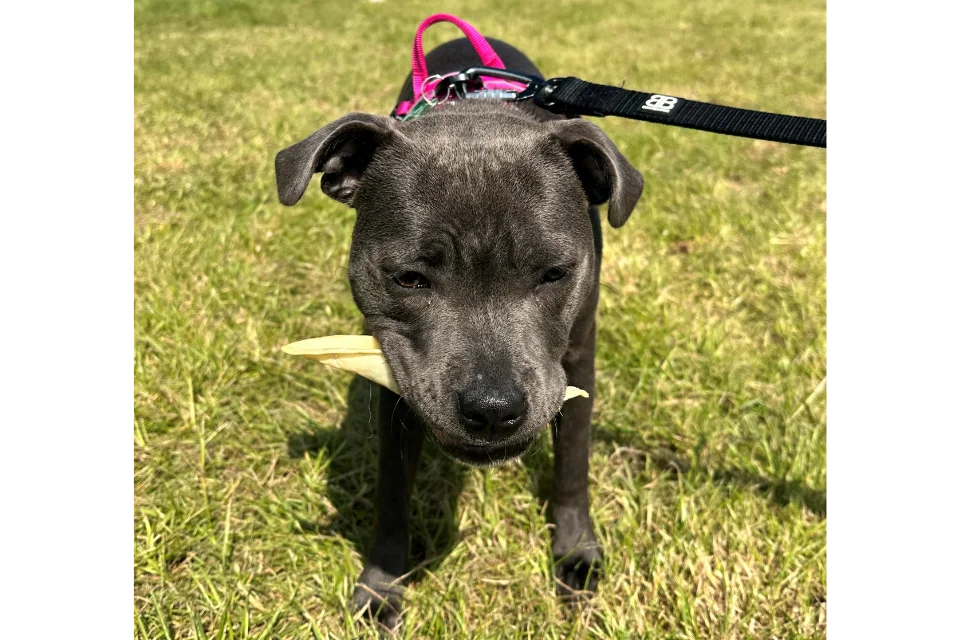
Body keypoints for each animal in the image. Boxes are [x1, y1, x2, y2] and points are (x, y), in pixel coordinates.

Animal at [274, 35, 640, 632]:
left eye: (554, 273)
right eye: (408, 278)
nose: (493, 408)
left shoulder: (578, 358)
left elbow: (573, 463)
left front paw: (574, 554)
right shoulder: (396, 385)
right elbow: (392, 493)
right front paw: (381, 586)